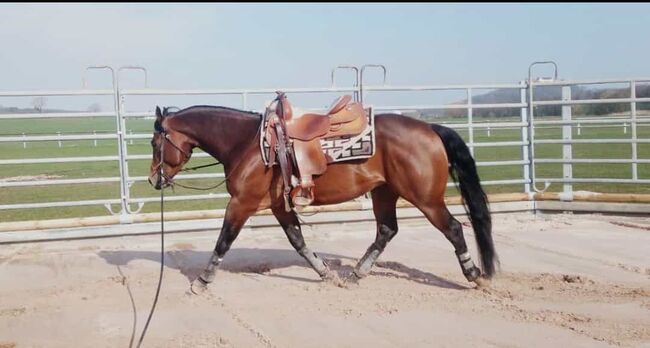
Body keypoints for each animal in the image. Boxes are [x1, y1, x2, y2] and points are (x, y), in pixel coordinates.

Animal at [148, 102, 496, 290]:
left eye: (154, 143)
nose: (153, 179)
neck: (248, 144)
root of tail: (431, 128)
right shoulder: (279, 206)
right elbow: (298, 240)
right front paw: (325, 272)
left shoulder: (241, 203)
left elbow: (224, 240)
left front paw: (202, 281)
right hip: (385, 192)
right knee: (387, 230)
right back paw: (356, 273)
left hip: (426, 199)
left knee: (453, 229)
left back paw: (475, 275)